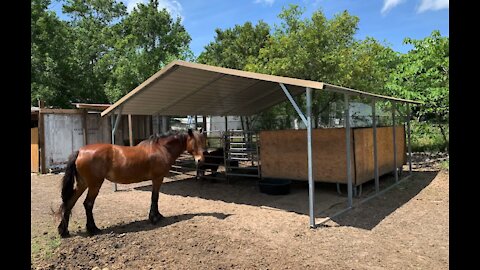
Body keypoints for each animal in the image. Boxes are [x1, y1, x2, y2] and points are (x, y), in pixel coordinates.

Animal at [56, 129, 206, 236]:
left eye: (204, 142)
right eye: (195, 142)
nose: (200, 160)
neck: (161, 148)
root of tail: (80, 151)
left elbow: (155, 198)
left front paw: (157, 216)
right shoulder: (157, 178)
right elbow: (155, 197)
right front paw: (154, 218)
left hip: (82, 184)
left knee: (70, 203)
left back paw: (64, 231)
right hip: (94, 184)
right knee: (88, 204)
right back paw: (93, 229)